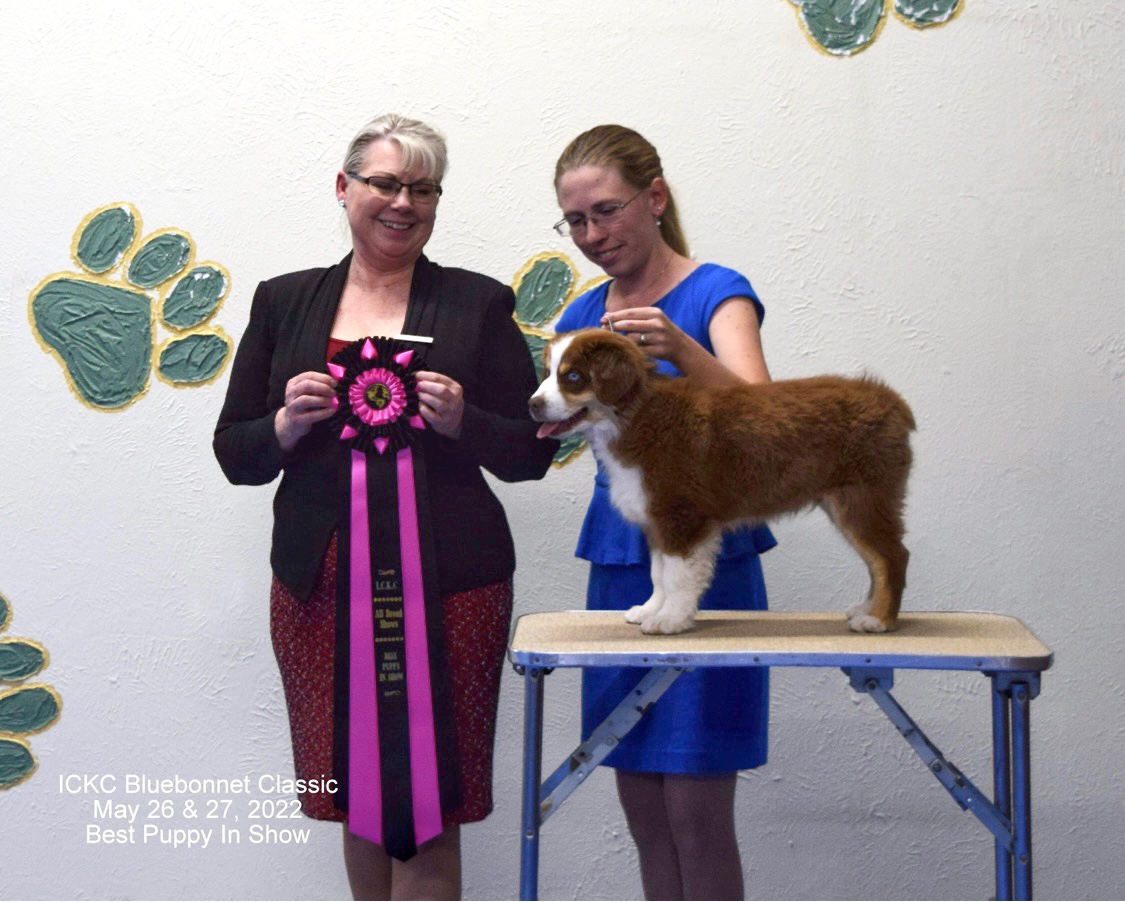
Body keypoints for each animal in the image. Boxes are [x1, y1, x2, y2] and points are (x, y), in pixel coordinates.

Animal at [529, 328, 915, 635]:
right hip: (844, 503)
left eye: (573, 377)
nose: (532, 404)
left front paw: (670, 620)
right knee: (876, 561)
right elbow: (658, 573)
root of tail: (889, 399)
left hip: (864, 498)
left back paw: (878, 619)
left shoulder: (682, 516)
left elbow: (677, 575)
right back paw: (866, 609)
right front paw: (651, 609)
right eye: (547, 373)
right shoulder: (658, 518)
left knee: (891, 557)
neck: (634, 415)